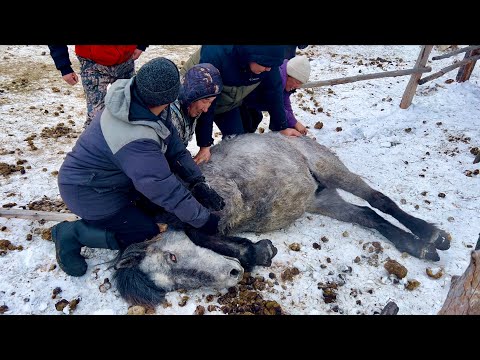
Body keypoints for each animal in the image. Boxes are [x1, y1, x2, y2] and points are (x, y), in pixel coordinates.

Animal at [114, 132, 452, 306]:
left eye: (172, 256)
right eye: (176, 286)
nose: (232, 274)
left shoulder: (222, 200)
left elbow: (199, 231)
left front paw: (256, 251)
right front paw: (255, 252)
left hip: (331, 169)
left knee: (378, 200)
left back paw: (431, 236)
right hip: (322, 201)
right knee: (369, 215)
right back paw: (416, 245)